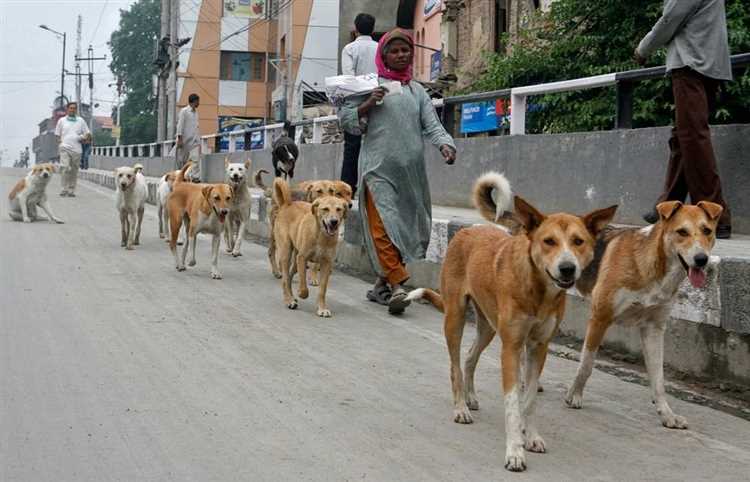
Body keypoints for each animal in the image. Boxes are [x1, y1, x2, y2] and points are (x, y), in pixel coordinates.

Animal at [274, 177, 350, 316]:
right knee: (285, 279)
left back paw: (291, 297)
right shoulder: (303, 258)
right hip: (286, 252)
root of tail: (287, 204)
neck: (321, 236)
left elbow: (322, 290)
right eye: (325, 209)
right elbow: (303, 285)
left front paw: (322, 308)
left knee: (290, 276)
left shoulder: (326, 263)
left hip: (295, 259)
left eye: (339, 209)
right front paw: (301, 293)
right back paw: (289, 300)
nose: (334, 222)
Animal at [412, 172, 616, 470]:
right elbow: (512, 403)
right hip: (455, 318)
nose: (568, 268)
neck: (538, 289)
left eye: (579, 241)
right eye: (549, 241)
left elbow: (528, 399)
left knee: (470, 358)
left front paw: (530, 437)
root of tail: (467, 231)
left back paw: (471, 397)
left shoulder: (538, 347)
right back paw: (461, 407)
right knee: (454, 366)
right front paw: (514, 451)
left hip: (488, 326)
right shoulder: (511, 347)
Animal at [568, 200, 724, 430]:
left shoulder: (654, 329)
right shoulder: (600, 317)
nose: (702, 259)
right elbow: (586, 364)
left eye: (707, 231)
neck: (651, 265)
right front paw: (575, 395)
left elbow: (658, 379)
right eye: (682, 232)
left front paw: (667, 414)